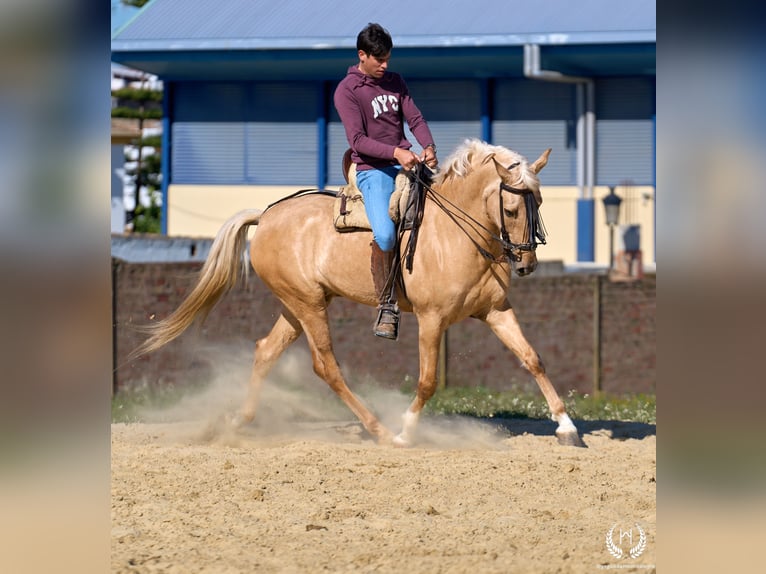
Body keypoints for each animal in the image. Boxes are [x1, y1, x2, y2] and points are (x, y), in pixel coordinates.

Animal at [134, 138, 584, 447]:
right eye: (511, 209)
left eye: (539, 203)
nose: (526, 265)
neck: (456, 233)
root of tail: (266, 215)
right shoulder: (432, 319)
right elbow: (427, 381)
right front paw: (406, 431)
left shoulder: (496, 311)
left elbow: (533, 359)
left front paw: (566, 427)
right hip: (309, 306)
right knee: (326, 367)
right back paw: (379, 429)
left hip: (297, 306)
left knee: (264, 352)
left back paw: (238, 422)